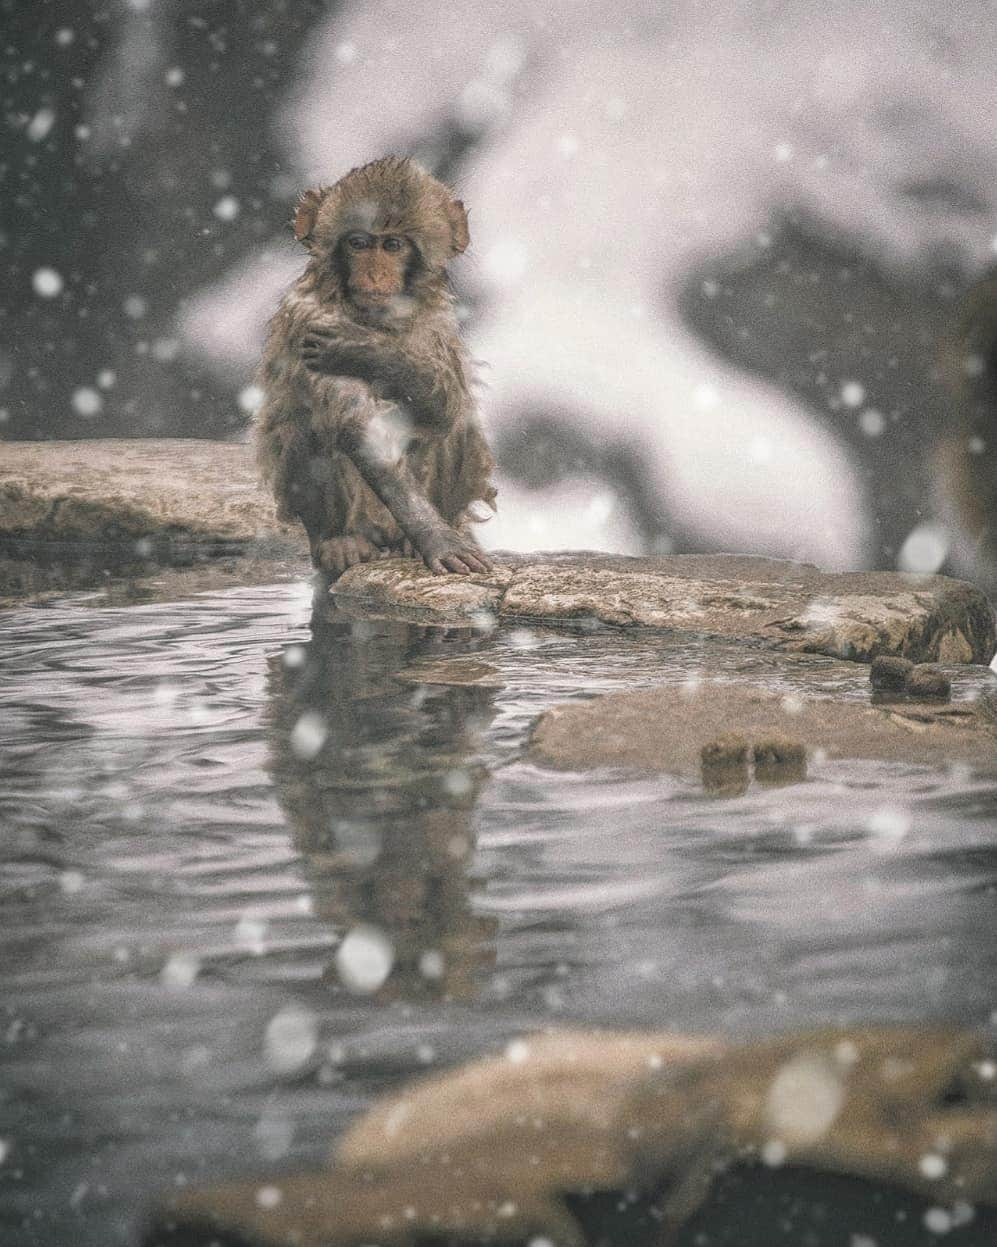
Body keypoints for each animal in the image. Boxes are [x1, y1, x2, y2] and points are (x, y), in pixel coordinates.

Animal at [252, 157, 493, 578]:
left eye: (392, 245)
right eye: (358, 243)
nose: (375, 273)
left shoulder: (436, 323)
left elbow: (446, 406)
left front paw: (370, 352)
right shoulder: (309, 317)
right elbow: (357, 424)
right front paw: (435, 537)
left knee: (452, 422)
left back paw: (411, 543)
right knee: (310, 427)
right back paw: (339, 541)